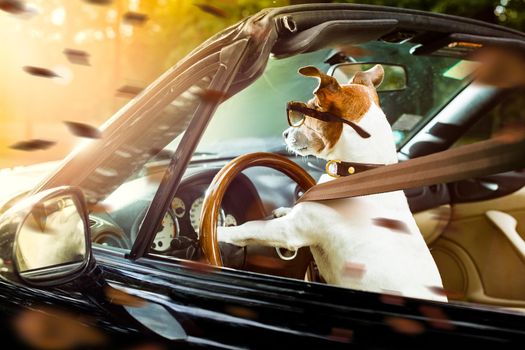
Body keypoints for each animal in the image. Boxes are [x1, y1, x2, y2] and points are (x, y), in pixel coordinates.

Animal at [218, 64, 446, 302]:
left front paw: (219, 232)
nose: (285, 133)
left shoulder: (289, 231)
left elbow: (249, 227)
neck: (356, 172)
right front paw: (282, 209)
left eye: (307, 111)